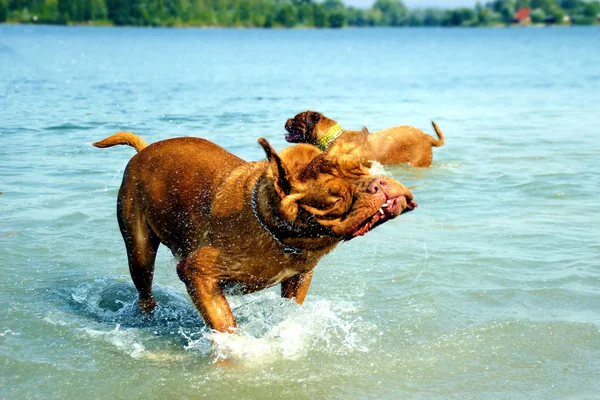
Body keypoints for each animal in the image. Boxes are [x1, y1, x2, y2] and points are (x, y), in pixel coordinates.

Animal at [92, 132, 418, 334]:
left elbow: (290, 309)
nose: (378, 185)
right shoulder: (197, 272)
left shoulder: (300, 276)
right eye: (335, 197)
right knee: (144, 290)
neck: (279, 233)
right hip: (139, 250)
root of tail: (144, 150)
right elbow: (225, 325)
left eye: (365, 167)